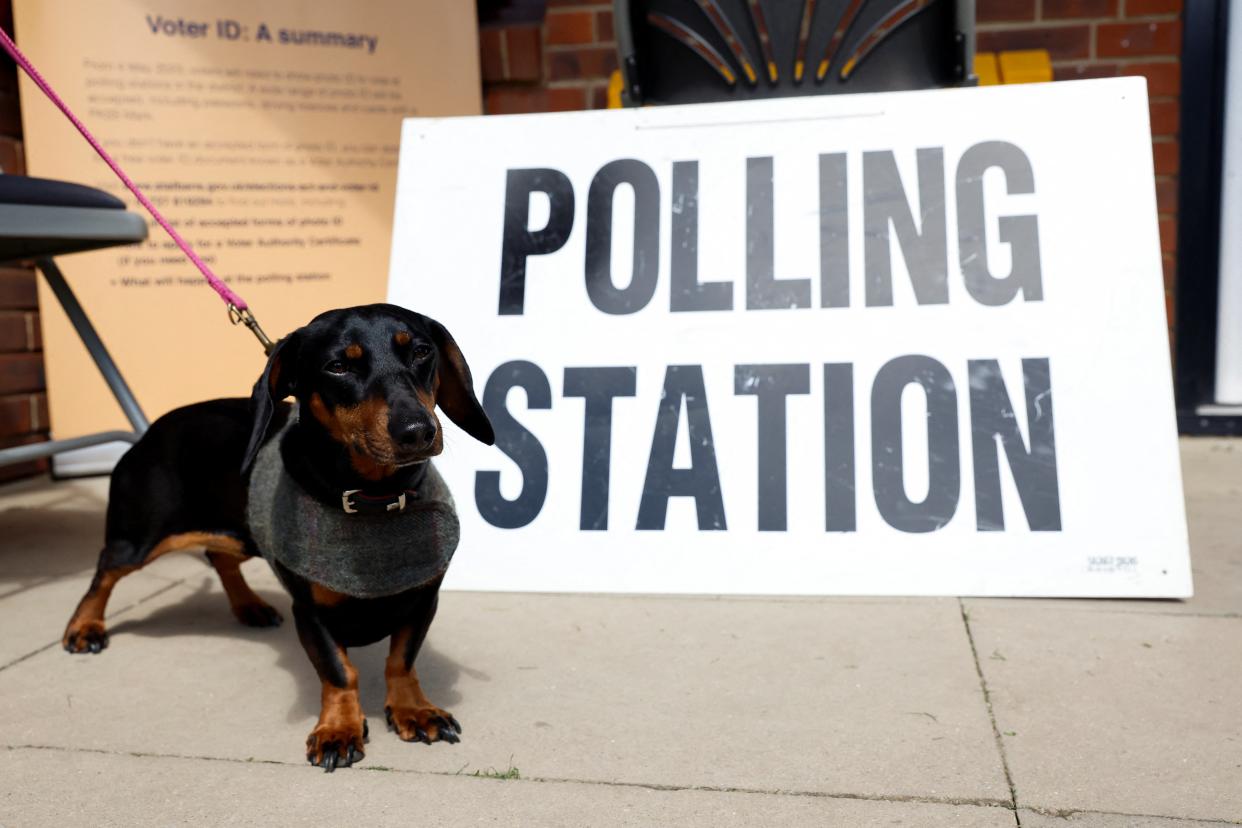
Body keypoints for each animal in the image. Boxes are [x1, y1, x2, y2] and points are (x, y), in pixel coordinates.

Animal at [59, 302, 494, 769]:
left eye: (420, 351)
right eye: (338, 366)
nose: (417, 431)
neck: (373, 500)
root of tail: (151, 431)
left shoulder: (422, 599)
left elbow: (401, 660)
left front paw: (414, 709)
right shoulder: (310, 612)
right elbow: (340, 671)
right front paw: (338, 730)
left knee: (220, 557)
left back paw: (249, 606)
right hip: (139, 539)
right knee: (105, 571)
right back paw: (84, 627)